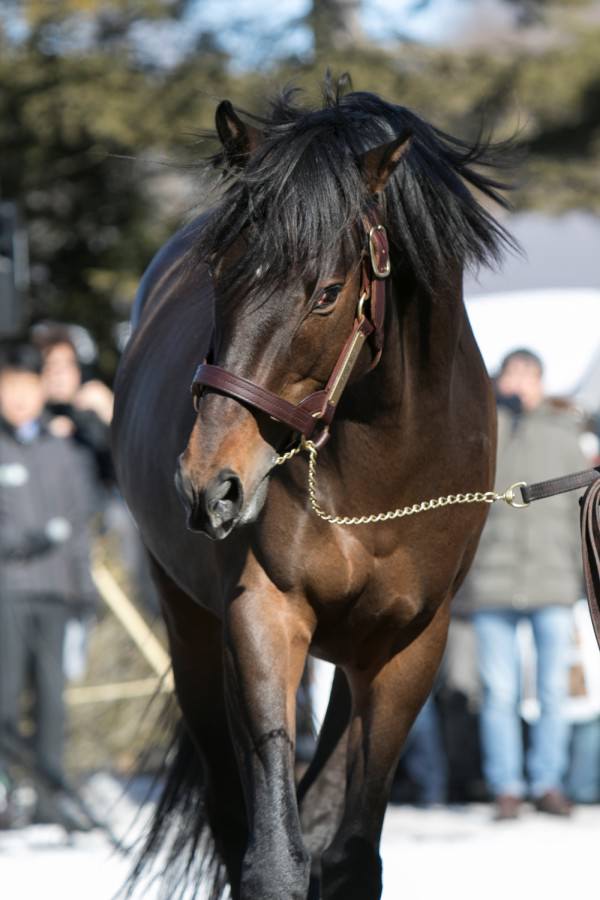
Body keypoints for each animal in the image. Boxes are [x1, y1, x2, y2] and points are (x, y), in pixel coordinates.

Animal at [112, 79, 513, 900]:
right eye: (219, 273)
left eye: (327, 292)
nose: (209, 484)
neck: (382, 478)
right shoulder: (262, 614)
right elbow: (272, 857)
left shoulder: (406, 647)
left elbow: (350, 851)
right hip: (188, 627)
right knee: (231, 811)